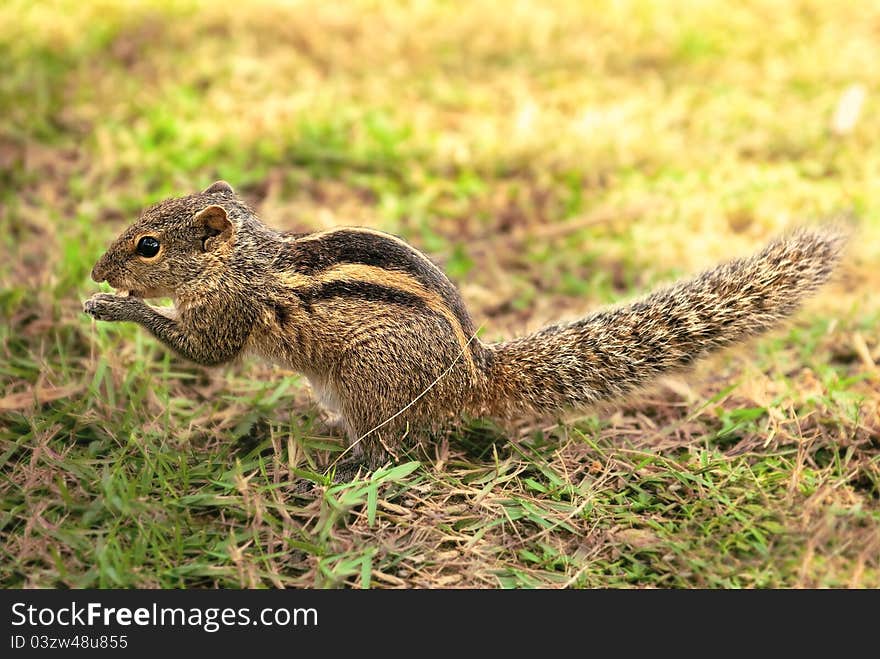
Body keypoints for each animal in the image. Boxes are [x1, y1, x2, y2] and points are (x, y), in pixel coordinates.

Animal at [84, 182, 844, 474]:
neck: (247, 259)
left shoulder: (227, 312)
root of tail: (472, 374)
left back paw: (341, 467)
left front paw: (112, 307)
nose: (96, 266)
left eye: (148, 246)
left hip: (370, 380)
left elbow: (205, 352)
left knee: (391, 450)